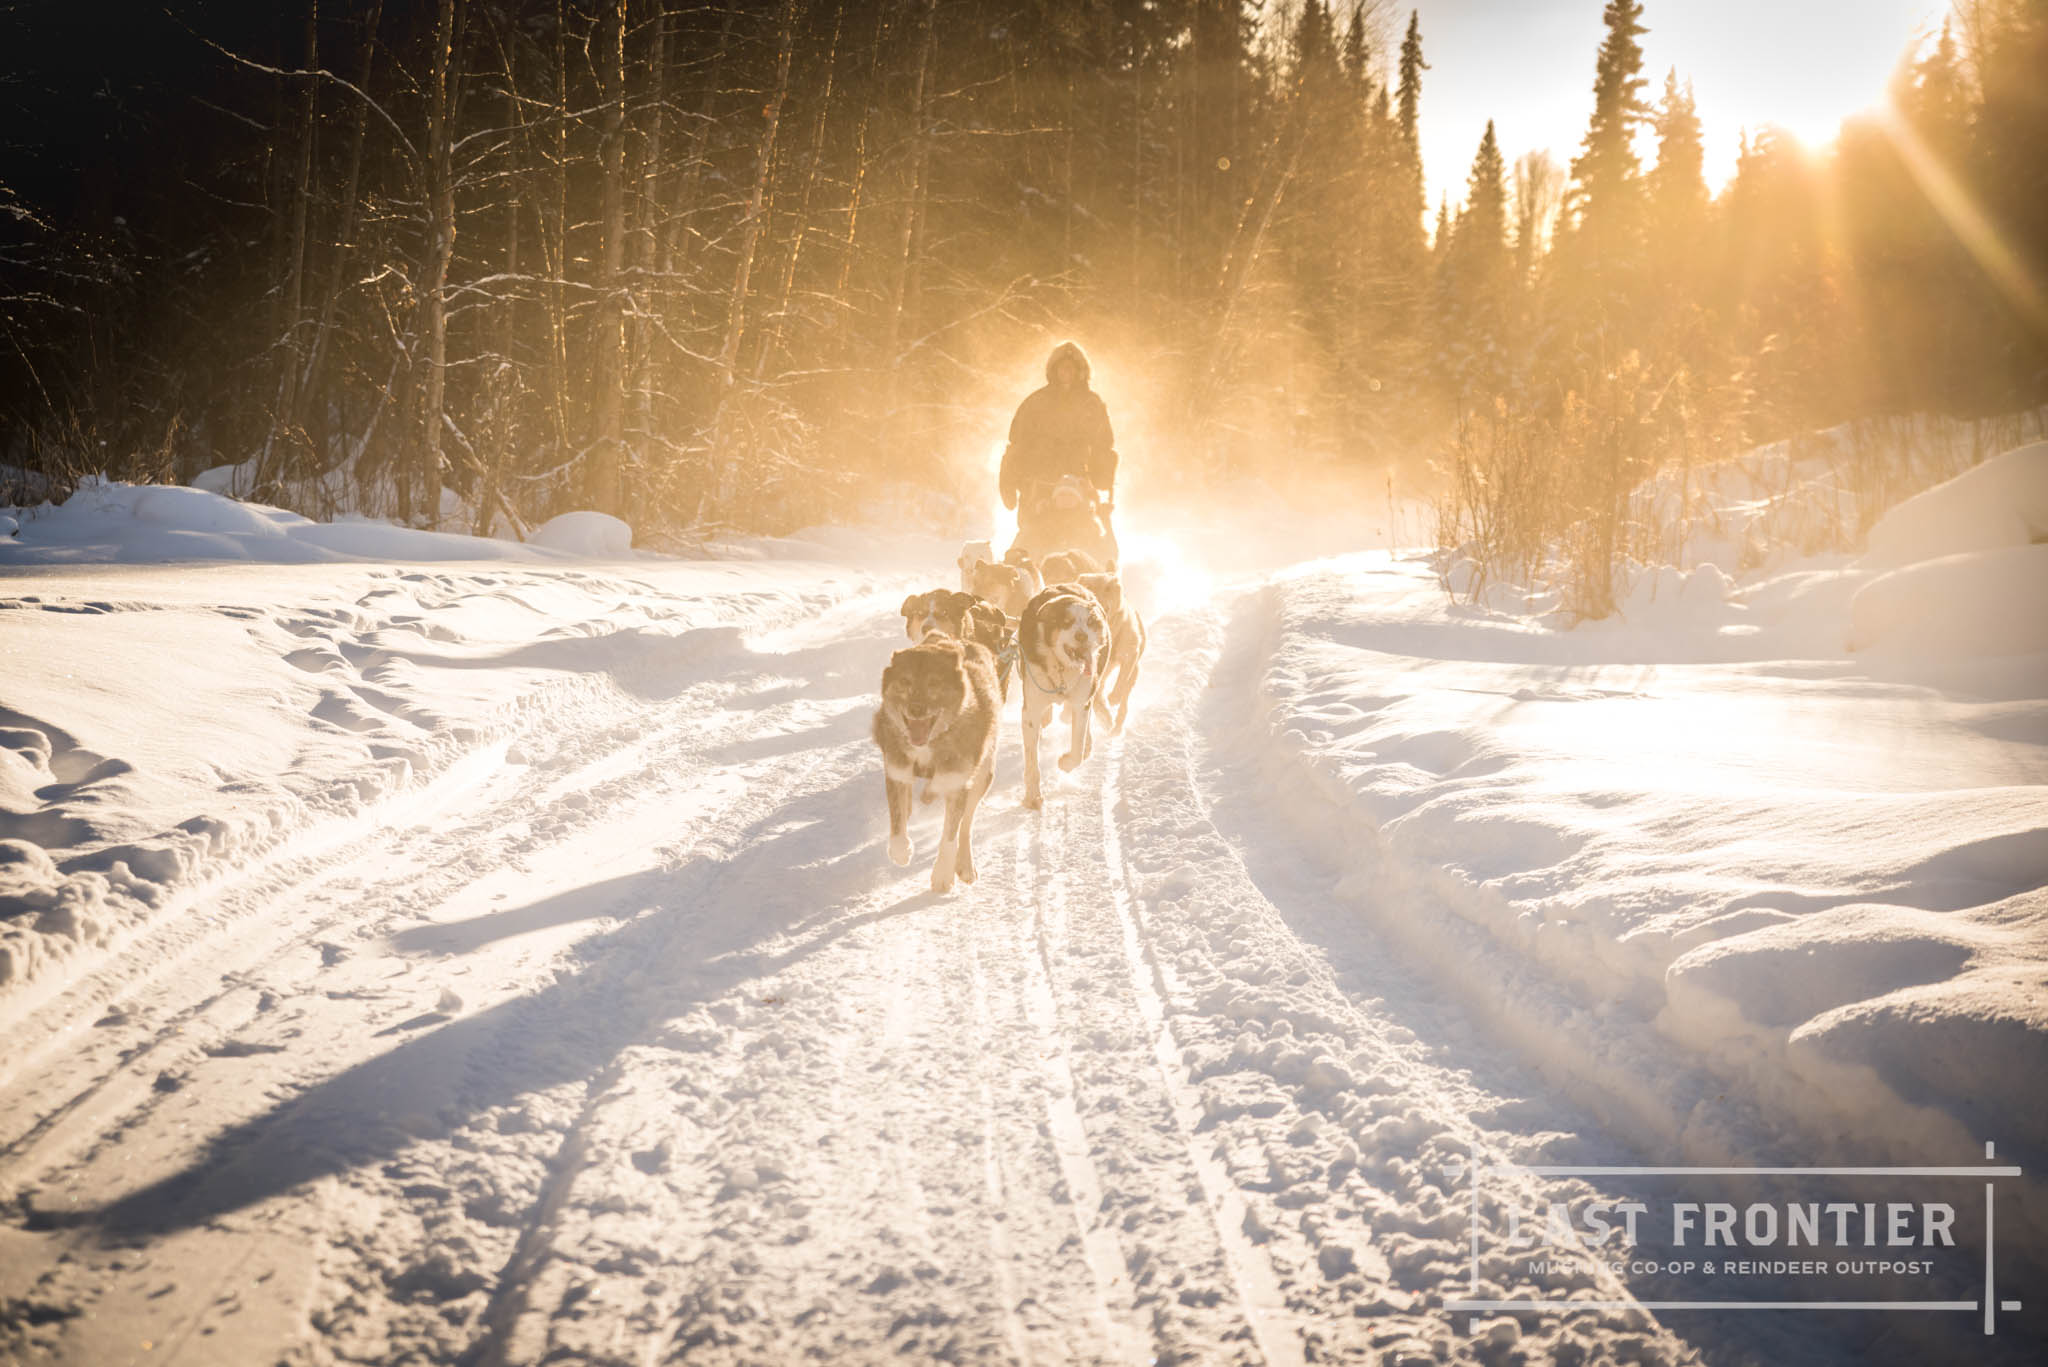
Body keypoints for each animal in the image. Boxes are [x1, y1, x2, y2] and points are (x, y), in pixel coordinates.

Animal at [872, 635, 999, 893]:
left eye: (934, 683)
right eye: (905, 681)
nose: (916, 708)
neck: (929, 746)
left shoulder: (958, 783)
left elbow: (950, 834)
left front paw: (942, 873)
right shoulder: (896, 772)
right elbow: (897, 818)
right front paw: (901, 850)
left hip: (984, 775)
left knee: (966, 825)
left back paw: (965, 864)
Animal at [1011, 582, 1105, 811]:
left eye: (1089, 622)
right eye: (1066, 622)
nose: (1082, 636)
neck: (1062, 668)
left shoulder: (1081, 702)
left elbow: (1077, 749)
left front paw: (1067, 762)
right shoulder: (1031, 710)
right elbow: (1032, 760)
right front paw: (1033, 797)